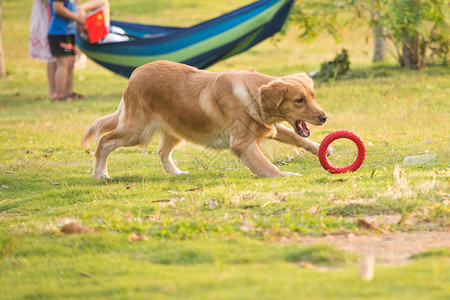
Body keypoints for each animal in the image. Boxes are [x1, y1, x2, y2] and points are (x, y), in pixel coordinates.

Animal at [81, 60, 326, 179]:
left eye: (313, 96)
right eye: (299, 100)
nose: (324, 117)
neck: (252, 94)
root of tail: (135, 74)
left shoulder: (269, 126)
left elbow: (299, 138)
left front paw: (323, 149)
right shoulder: (242, 143)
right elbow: (267, 166)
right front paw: (285, 175)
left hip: (176, 128)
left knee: (162, 151)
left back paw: (176, 173)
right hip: (136, 131)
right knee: (104, 141)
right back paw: (100, 173)